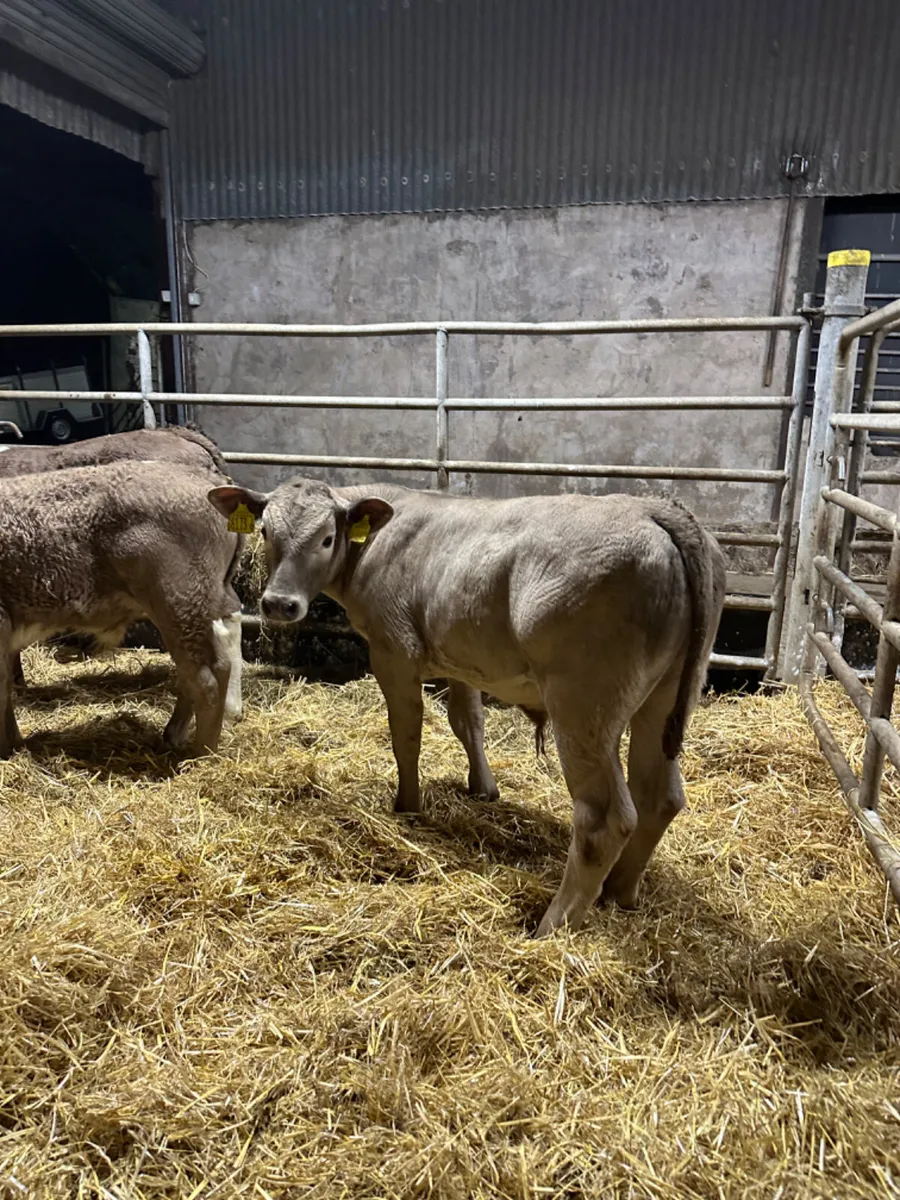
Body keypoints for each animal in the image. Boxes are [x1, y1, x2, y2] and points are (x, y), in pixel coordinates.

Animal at [0, 460, 244, 758]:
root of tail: (208, 480)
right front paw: (12, 745)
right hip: (201, 606)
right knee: (214, 666)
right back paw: (174, 736)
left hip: (180, 604)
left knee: (205, 679)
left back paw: (200, 755)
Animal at [208, 477, 726, 938]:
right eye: (266, 532)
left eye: (327, 538)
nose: (278, 604)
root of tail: (655, 510)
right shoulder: (461, 659)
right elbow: (467, 722)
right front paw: (483, 787)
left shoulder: (393, 651)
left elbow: (407, 733)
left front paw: (407, 805)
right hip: (665, 698)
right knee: (660, 795)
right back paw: (618, 892)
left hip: (585, 704)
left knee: (605, 819)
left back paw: (551, 926)